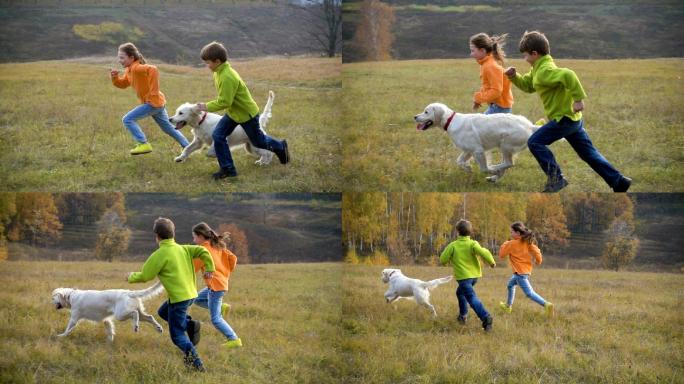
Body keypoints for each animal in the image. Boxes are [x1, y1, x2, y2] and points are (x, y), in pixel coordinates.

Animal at [414, 103, 544, 182]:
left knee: (508, 163)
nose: (415, 117)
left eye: (426, 112)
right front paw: (468, 168)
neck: (451, 121)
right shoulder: (468, 150)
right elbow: (459, 161)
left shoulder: (478, 151)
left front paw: (489, 169)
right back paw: (494, 177)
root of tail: (530, 125)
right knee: (506, 165)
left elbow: (484, 168)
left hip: (505, 145)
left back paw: (495, 170)